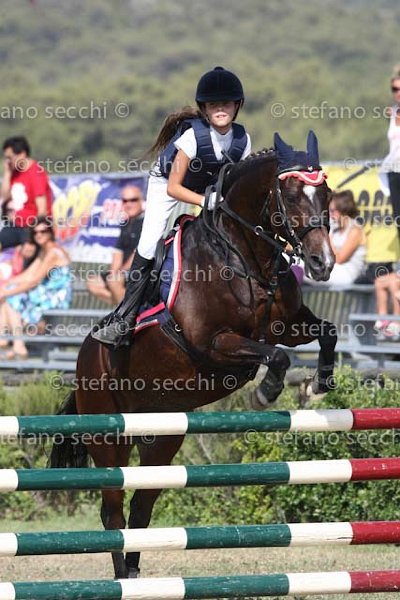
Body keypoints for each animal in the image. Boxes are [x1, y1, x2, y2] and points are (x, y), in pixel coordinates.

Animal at [50, 132, 337, 579]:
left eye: (326, 192)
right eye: (290, 195)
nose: (323, 263)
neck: (245, 256)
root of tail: (83, 360)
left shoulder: (287, 327)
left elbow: (326, 333)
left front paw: (318, 384)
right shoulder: (213, 343)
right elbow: (275, 358)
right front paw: (265, 393)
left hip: (163, 438)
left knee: (141, 508)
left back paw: (136, 577)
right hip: (109, 436)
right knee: (113, 513)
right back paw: (123, 578)